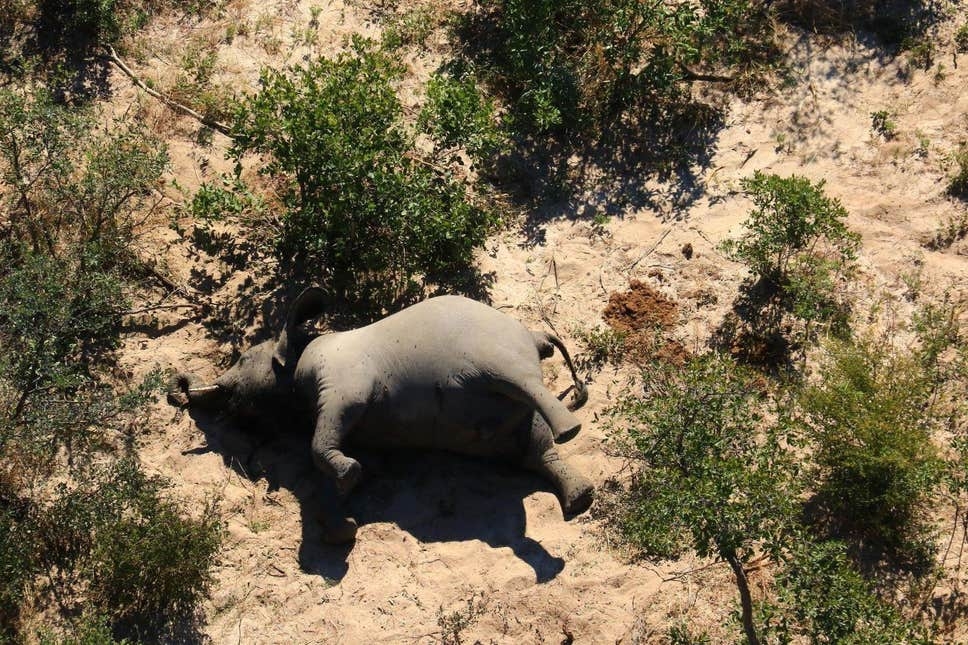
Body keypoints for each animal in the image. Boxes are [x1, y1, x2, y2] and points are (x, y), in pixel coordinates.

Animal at [169, 287, 593, 543]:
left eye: (242, 359)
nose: (178, 390)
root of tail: (535, 336)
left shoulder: (343, 381)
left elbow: (322, 438)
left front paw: (348, 481)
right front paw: (343, 516)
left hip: (497, 354)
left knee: (523, 386)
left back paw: (571, 432)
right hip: (502, 423)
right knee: (534, 449)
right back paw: (581, 499)